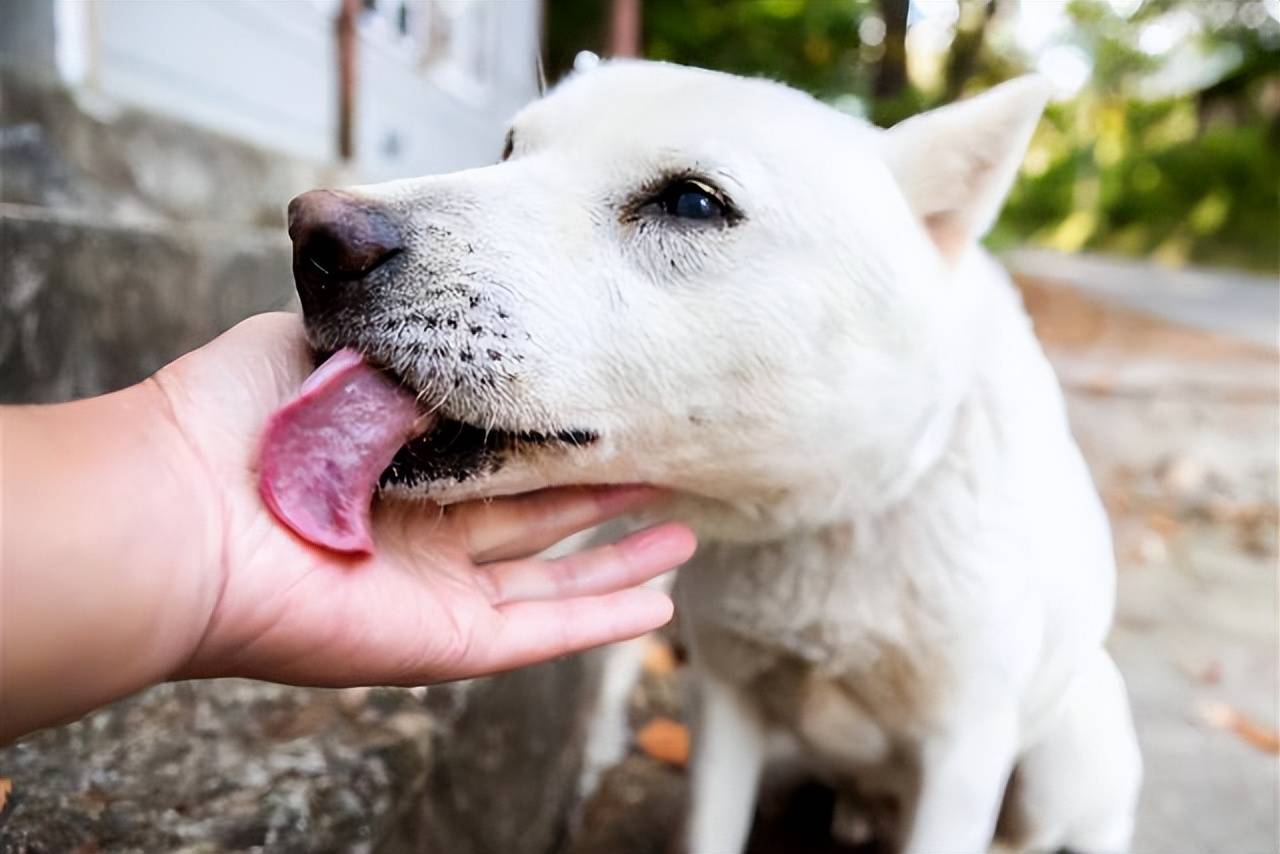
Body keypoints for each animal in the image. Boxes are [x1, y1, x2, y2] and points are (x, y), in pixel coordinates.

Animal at [288, 61, 1141, 854]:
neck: (827, 521)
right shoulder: (726, 706)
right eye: (508, 148)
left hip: (1065, 753)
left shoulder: (961, 754)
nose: (312, 238)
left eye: (693, 203)